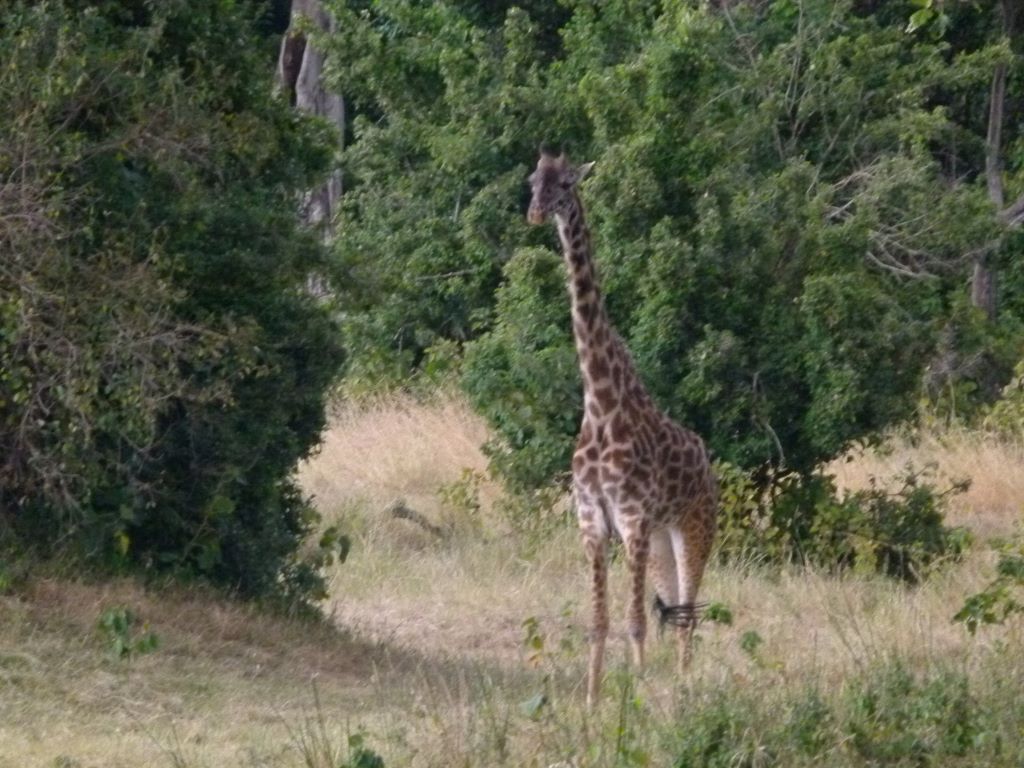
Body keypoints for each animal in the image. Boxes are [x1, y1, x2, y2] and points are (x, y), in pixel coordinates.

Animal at [526, 150, 717, 707]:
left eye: (567, 183)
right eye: (532, 180)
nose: (536, 213)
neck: (601, 406)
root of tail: (709, 466)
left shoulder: (631, 520)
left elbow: (634, 621)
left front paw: (636, 699)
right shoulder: (593, 522)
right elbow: (600, 621)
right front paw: (593, 702)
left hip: (696, 527)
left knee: (689, 611)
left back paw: (684, 685)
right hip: (661, 538)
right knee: (677, 608)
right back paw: (678, 680)